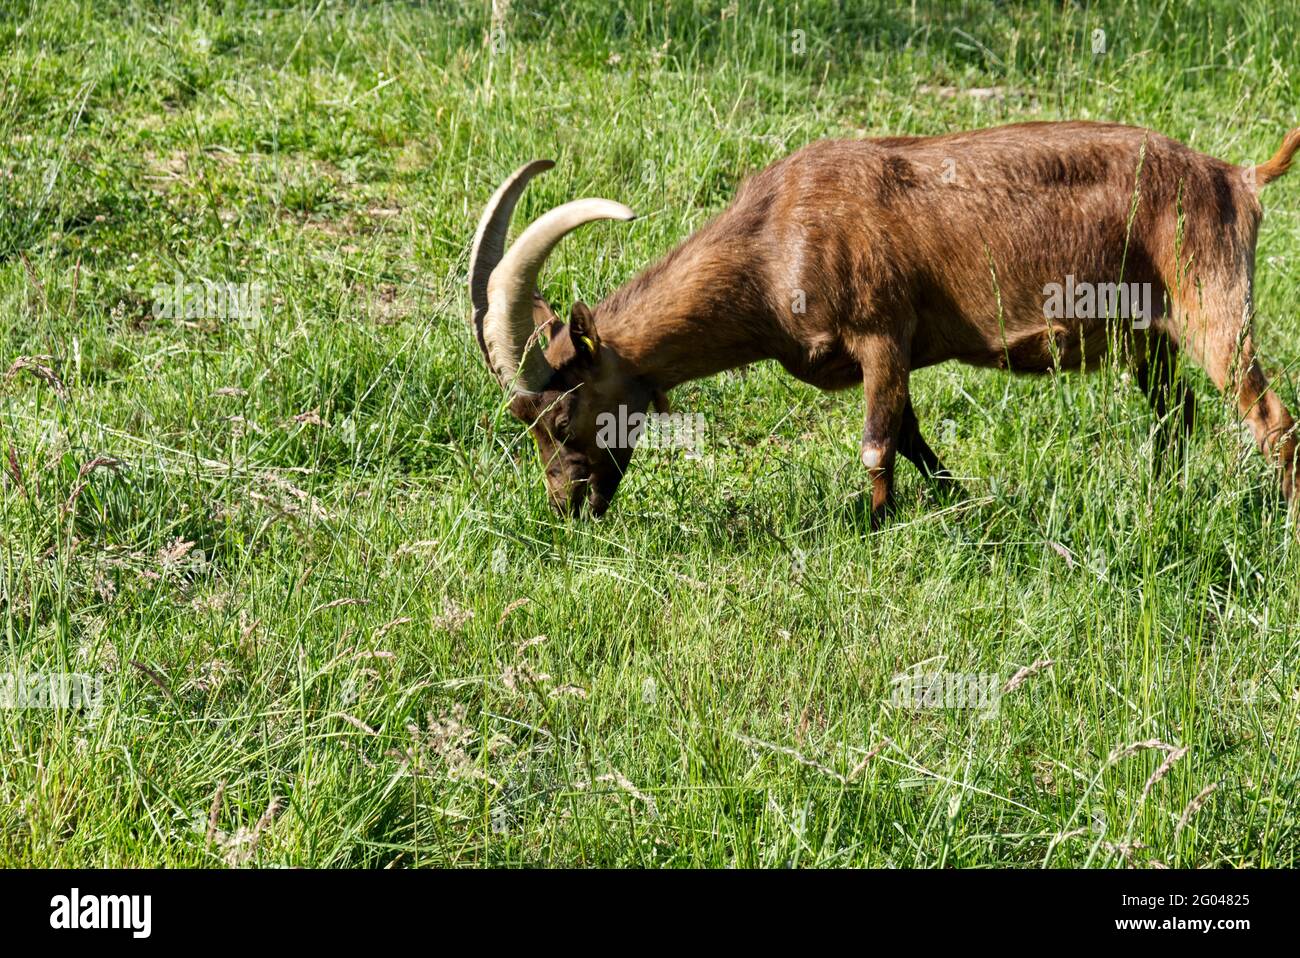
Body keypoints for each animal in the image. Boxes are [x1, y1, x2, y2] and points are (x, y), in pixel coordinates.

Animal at [467, 121, 1300, 522]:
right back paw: (1160, 495)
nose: (569, 507)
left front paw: (877, 530)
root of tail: (1235, 176)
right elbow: (910, 435)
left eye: (563, 411)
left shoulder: (880, 334)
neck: (770, 243)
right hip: (1146, 335)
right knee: (1175, 411)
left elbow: (876, 445)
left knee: (1270, 418)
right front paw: (962, 505)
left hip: (1214, 305)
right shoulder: (893, 355)